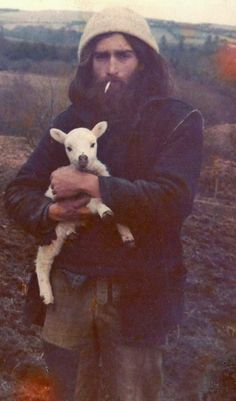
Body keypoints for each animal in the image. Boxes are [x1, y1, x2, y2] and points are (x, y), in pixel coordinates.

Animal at [35, 120, 135, 304]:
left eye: (93, 143)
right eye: (68, 147)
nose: (83, 158)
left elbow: (117, 209)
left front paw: (127, 236)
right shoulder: (81, 198)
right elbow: (97, 203)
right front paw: (105, 212)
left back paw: (72, 234)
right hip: (53, 234)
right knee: (43, 261)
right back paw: (47, 295)